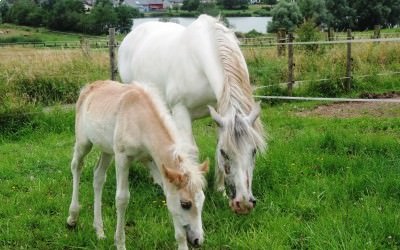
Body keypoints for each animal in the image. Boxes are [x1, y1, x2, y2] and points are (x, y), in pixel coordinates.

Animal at [65, 80, 209, 250]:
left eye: (202, 200)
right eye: (185, 204)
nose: (197, 240)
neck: (140, 119)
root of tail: (88, 87)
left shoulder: (153, 162)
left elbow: (169, 199)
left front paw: (182, 243)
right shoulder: (122, 157)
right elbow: (122, 199)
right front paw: (120, 243)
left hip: (107, 150)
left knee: (98, 176)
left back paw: (99, 231)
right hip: (84, 142)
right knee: (76, 165)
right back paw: (72, 217)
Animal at [118, 13, 266, 214]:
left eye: (254, 151)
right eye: (226, 153)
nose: (243, 204)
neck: (199, 60)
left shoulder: (219, 112)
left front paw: (220, 190)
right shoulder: (181, 110)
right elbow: (191, 150)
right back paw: (158, 180)